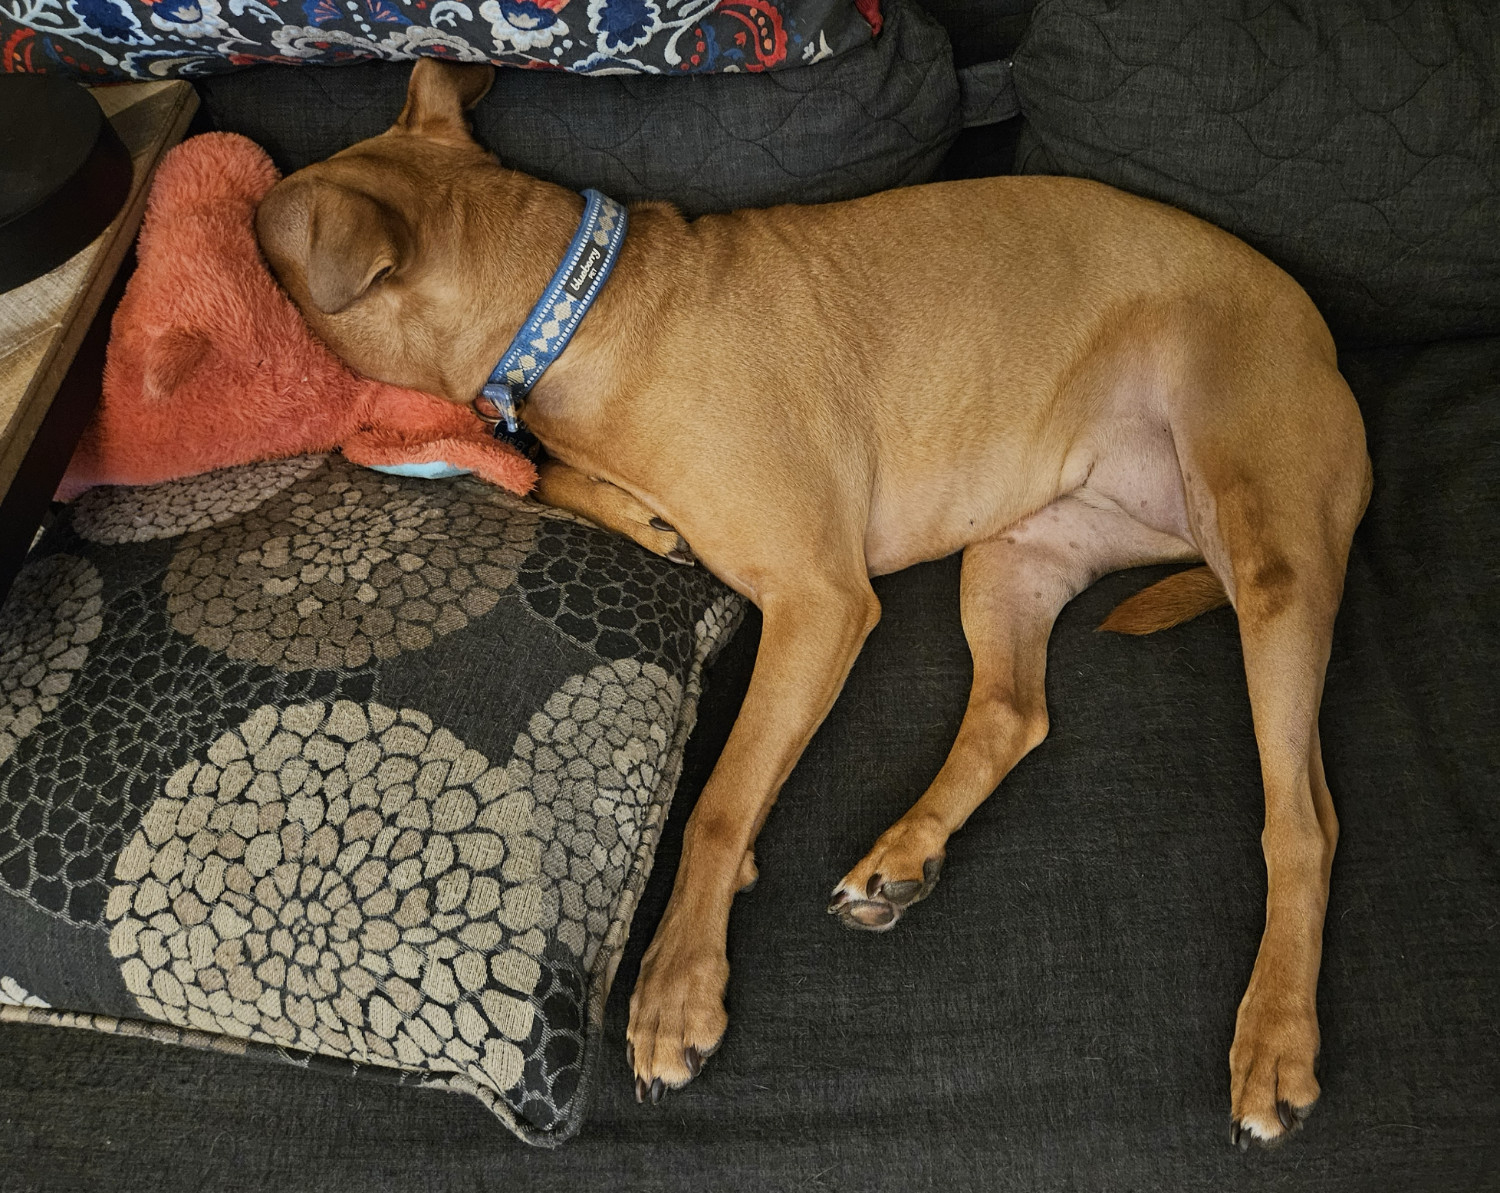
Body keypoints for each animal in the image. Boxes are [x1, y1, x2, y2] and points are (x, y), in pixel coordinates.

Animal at [258, 58, 1374, 1146]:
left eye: (263, 247)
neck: (574, 305)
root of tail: (1326, 341)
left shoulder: (820, 602)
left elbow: (716, 801)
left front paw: (677, 985)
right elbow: (538, 475)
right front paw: (635, 516)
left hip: (1269, 563)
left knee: (1304, 820)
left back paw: (1274, 1042)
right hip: (1013, 555)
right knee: (1014, 713)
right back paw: (904, 852)